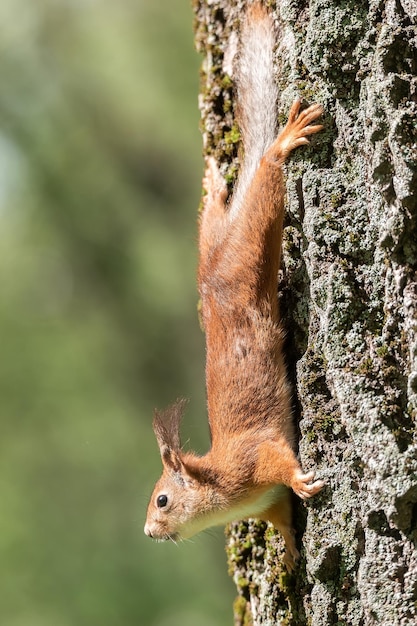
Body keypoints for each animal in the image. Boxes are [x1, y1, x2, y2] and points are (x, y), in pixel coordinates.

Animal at [145, 0, 324, 568]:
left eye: (162, 499)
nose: (148, 532)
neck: (222, 488)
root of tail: (215, 281)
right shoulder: (265, 503)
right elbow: (281, 517)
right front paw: (289, 550)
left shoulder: (255, 456)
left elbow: (281, 461)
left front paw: (304, 482)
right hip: (216, 245)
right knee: (214, 219)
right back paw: (213, 185)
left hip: (249, 249)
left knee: (266, 180)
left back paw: (282, 144)